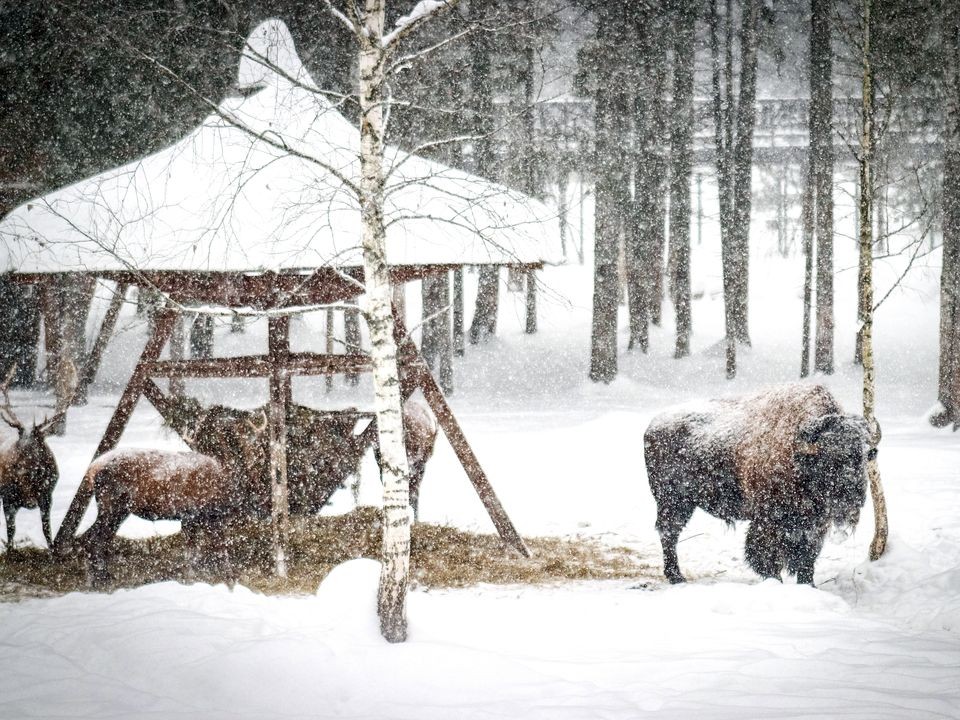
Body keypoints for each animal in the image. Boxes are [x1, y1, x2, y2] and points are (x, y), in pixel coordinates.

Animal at [0, 366, 67, 552]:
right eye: (18, 439)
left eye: (35, 445)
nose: (16, 466)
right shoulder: (7, 496)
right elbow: (11, 530)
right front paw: (10, 551)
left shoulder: (47, 495)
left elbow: (47, 529)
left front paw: (52, 550)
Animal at [644, 382, 876, 584]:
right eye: (829, 459)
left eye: (866, 455)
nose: (854, 496)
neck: (798, 453)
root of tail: (653, 425)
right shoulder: (768, 520)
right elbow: (765, 556)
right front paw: (775, 582)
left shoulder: (814, 524)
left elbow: (806, 557)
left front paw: (809, 586)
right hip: (673, 502)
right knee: (669, 533)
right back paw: (676, 577)